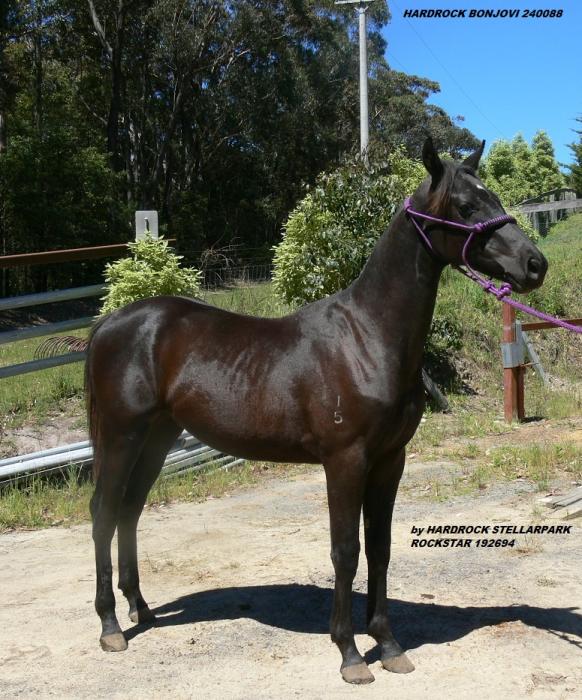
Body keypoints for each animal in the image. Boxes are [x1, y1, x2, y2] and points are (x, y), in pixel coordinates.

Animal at [85, 137, 547, 684]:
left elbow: (380, 548)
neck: (368, 337)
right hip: (123, 435)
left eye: (491, 196)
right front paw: (350, 653)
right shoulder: (345, 461)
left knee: (130, 510)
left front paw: (388, 644)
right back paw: (111, 626)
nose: (535, 264)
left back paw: (141, 608)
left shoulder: (390, 460)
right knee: (104, 512)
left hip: (157, 436)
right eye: (466, 206)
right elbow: (345, 551)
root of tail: (111, 322)